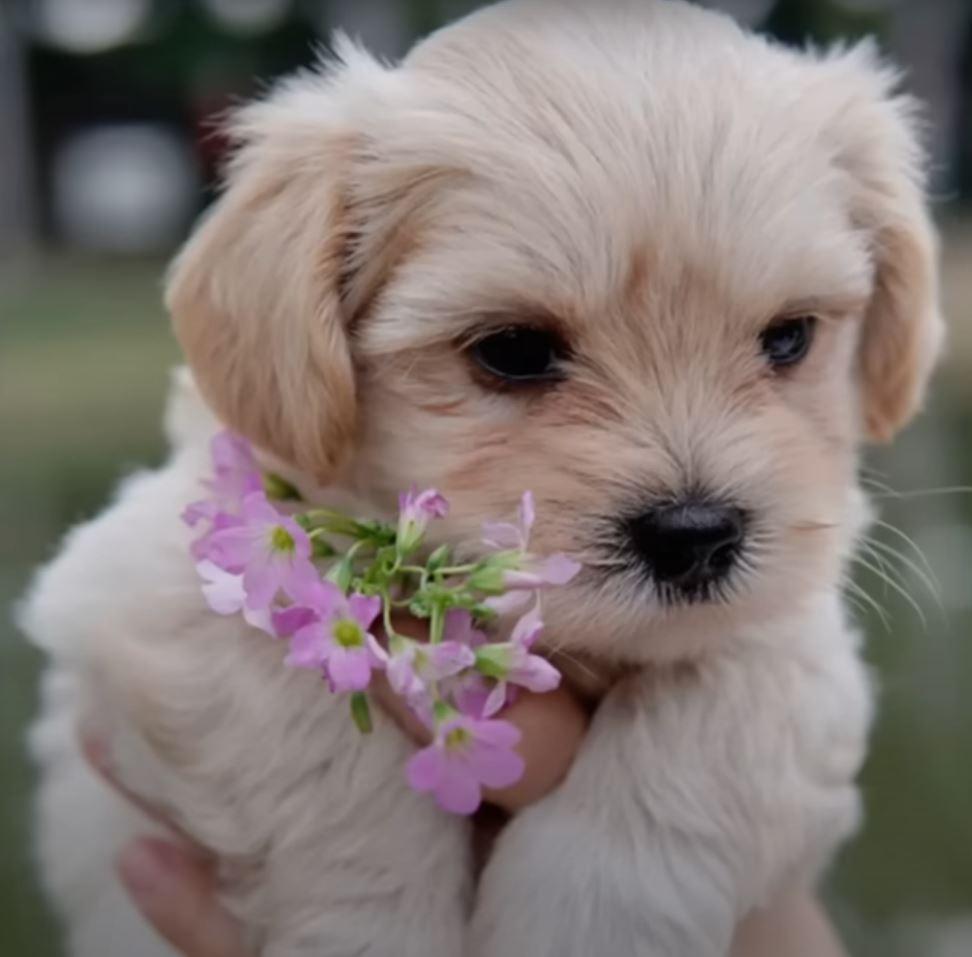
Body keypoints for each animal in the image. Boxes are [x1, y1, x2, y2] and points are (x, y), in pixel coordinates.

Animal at [20, 1, 940, 956]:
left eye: (790, 337)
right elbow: (318, 757)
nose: (696, 538)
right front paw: (376, 929)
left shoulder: (795, 638)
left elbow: (715, 714)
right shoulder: (161, 591)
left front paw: (579, 917)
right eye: (514, 350)